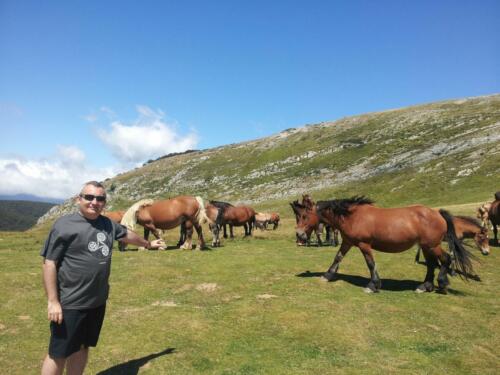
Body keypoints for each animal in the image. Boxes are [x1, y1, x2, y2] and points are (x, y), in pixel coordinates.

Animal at [296, 197, 476, 294]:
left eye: (304, 216)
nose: (299, 235)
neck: (352, 216)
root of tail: (437, 213)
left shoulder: (364, 245)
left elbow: (371, 264)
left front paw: (373, 285)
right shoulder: (347, 242)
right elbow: (337, 257)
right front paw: (327, 275)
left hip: (432, 245)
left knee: (445, 259)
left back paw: (442, 283)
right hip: (426, 247)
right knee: (431, 264)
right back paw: (425, 286)